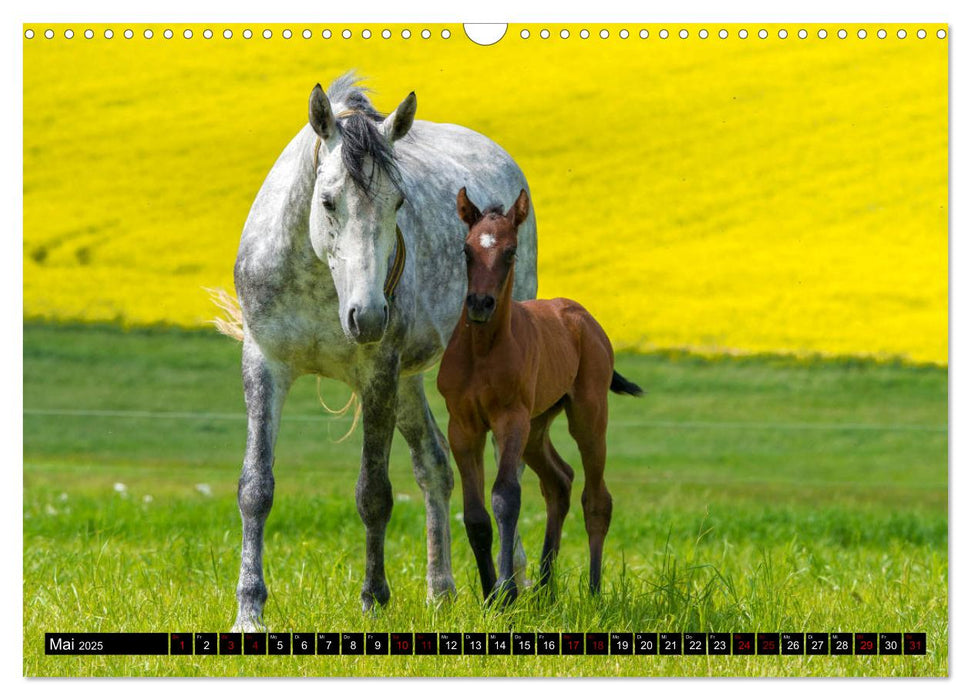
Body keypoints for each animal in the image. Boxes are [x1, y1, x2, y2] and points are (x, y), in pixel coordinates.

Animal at [234, 74, 540, 632]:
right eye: (328, 201)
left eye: (398, 203)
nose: (369, 315)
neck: (321, 281)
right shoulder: (265, 364)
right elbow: (256, 488)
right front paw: (249, 612)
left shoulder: (377, 372)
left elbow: (373, 493)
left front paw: (373, 600)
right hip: (409, 382)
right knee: (435, 466)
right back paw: (441, 592)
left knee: (510, 469)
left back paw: (518, 584)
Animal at [436, 189, 640, 604]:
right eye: (466, 249)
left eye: (511, 251)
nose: (479, 304)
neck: (482, 351)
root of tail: (583, 317)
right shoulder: (462, 426)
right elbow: (476, 514)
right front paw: (489, 596)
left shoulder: (509, 419)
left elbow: (505, 496)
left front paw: (507, 594)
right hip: (537, 426)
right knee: (559, 482)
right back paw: (546, 589)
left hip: (587, 417)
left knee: (597, 499)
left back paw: (593, 592)